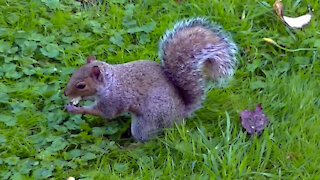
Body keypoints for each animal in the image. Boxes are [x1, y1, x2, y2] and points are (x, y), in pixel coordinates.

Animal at [63, 17, 238, 141]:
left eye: (81, 85)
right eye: (73, 73)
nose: (65, 93)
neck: (110, 83)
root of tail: (181, 114)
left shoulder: (115, 99)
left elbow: (106, 113)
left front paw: (76, 109)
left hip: (147, 122)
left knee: (148, 140)